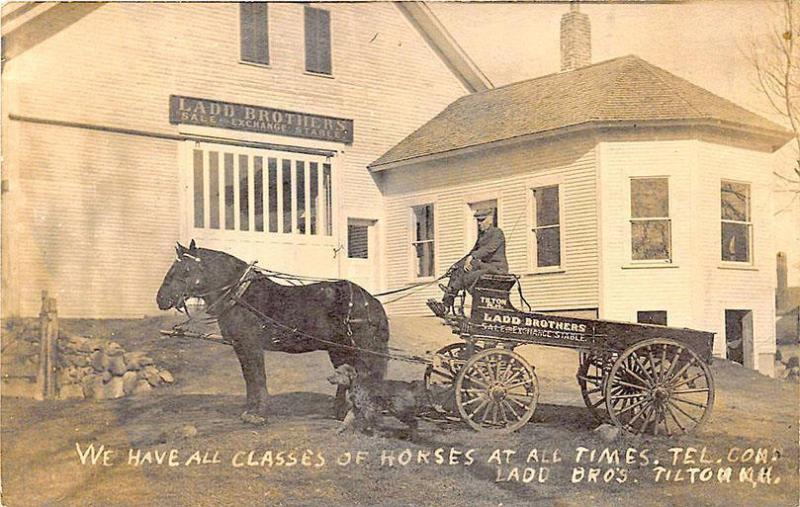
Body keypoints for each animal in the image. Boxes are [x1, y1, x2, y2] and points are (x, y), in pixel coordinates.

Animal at [155, 241, 390, 424]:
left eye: (186, 270)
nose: (161, 299)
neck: (242, 297)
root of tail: (371, 300)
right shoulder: (240, 347)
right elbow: (249, 379)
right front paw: (250, 411)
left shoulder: (251, 345)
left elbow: (258, 378)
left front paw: (258, 414)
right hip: (338, 349)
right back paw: (340, 412)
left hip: (361, 349)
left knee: (366, 375)